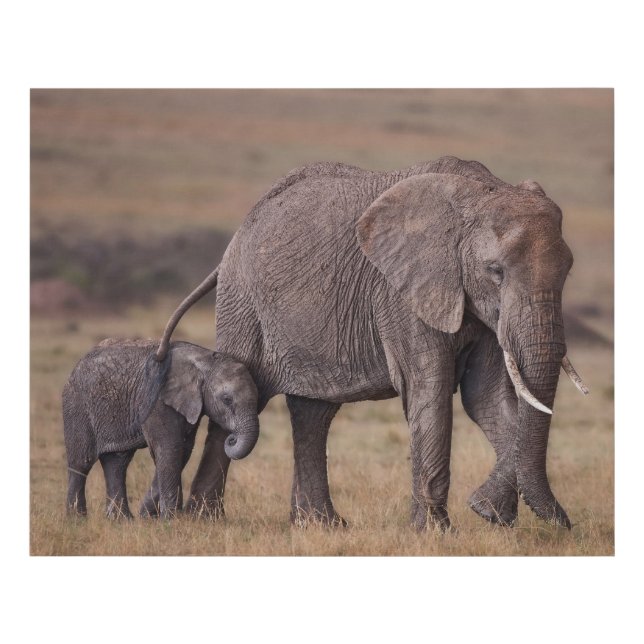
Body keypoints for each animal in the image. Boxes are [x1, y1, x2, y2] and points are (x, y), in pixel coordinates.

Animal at [63, 338, 259, 519]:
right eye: (227, 399)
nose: (231, 438)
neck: (204, 361)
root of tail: (75, 367)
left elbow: (182, 451)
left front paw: (149, 516)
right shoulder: (156, 400)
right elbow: (170, 448)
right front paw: (171, 519)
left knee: (117, 462)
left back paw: (121, 520)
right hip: (77, 405)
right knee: (82, 461)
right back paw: (77, 519)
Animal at [155, 155, 588, 531]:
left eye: (568, 272)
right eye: (495, 271)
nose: (567, 525)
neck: (481, 192)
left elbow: (486, 398)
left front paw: (492, 514)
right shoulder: (400, 293)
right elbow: (429, 389)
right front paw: (436, 533)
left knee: (314, 414)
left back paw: (322, 527)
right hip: (243, 304)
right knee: (241, 391)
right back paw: (205, 520)